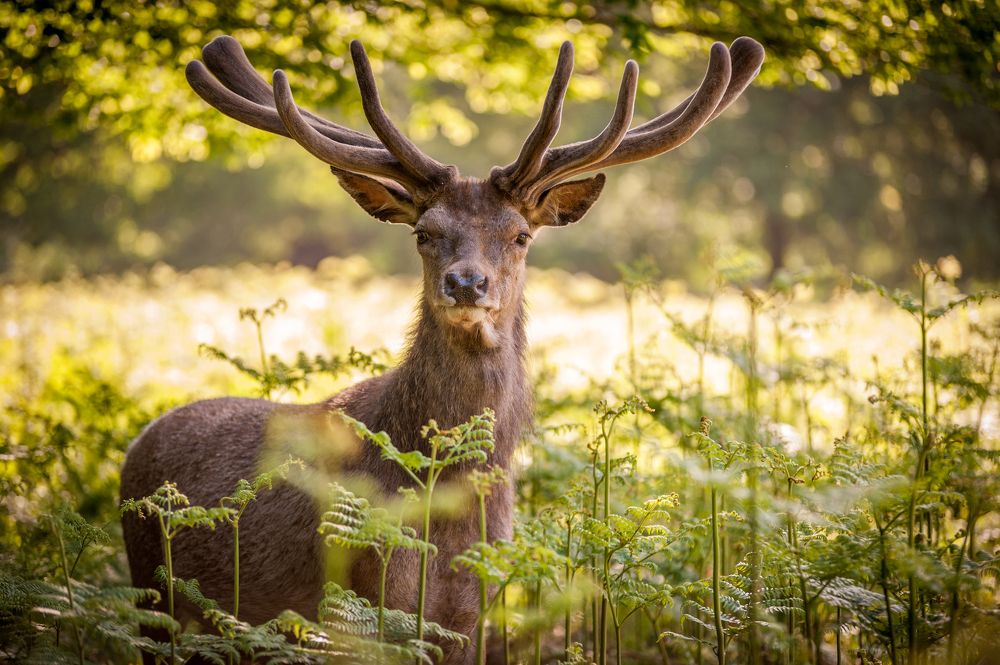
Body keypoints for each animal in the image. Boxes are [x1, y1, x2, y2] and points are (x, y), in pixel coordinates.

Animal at [121, 34, 763, 664]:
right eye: (424, 232)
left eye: (520, 234)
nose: (466, 282)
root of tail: (139, 444)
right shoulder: (357, 606)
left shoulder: (468, 616)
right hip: (153, 588)